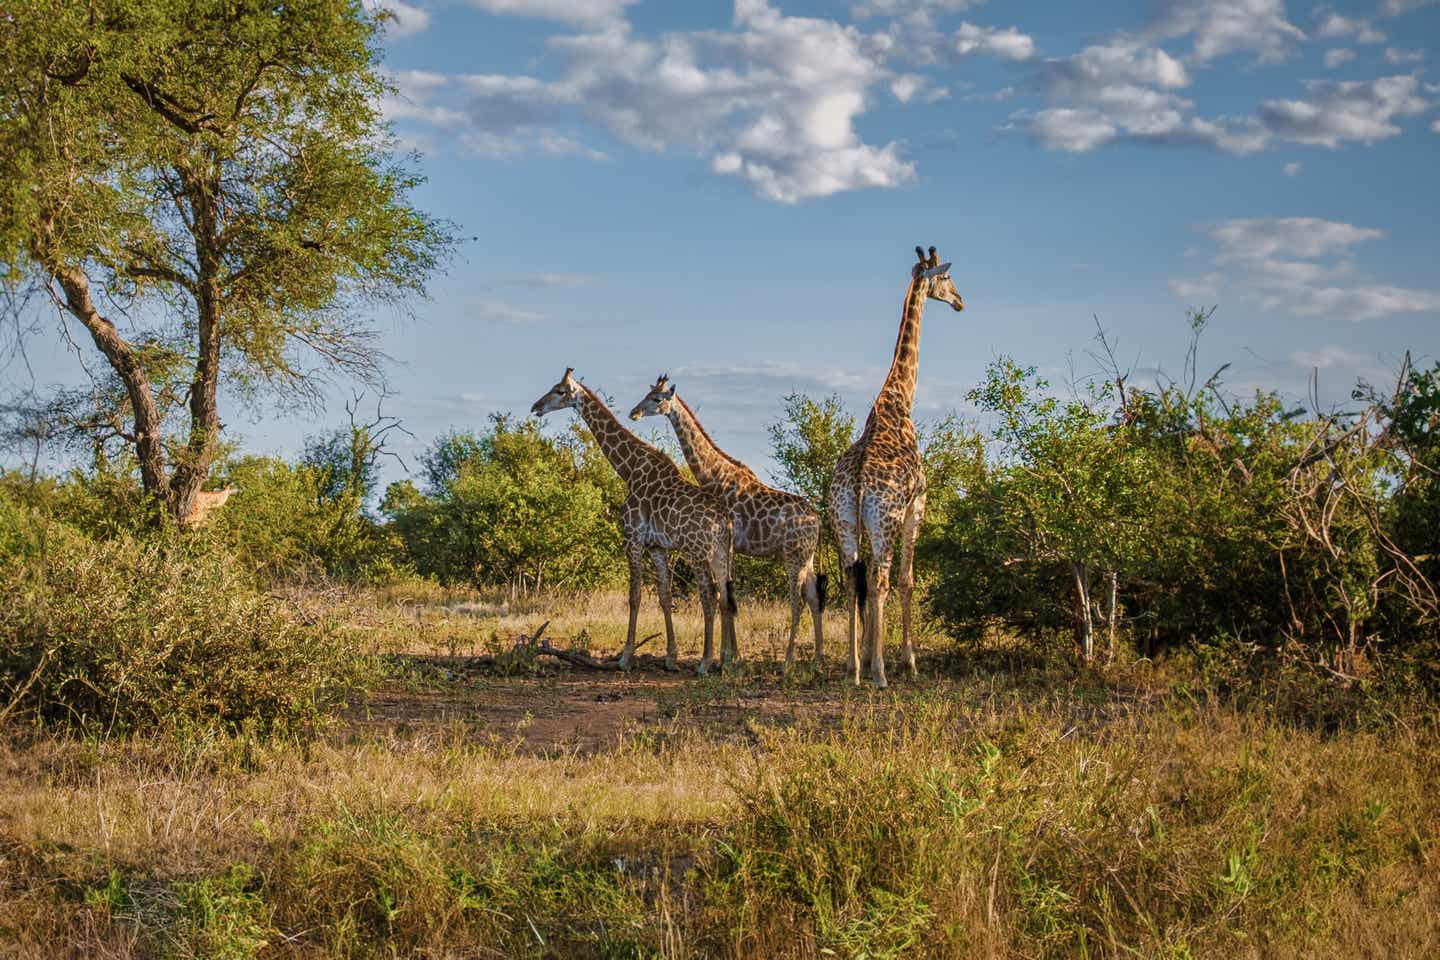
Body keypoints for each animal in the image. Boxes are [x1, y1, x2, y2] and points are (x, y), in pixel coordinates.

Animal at [529, 368, 737, 676]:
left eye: (560, 391)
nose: (536, 407)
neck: (629, 470)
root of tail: (724, 521)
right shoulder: (657, 546)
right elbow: (664, 596)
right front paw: (671, 659)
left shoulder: (633, 538)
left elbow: (635, 595)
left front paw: (626, 657)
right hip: (722, 552)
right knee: (724, 595)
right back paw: (725, 660)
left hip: (697, 551)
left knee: (708, 595)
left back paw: (704, 662)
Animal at [633, 374, 835, 676]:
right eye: (647, 395)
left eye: (657, 399)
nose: (633, 413)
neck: (714, 475)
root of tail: (818, 520)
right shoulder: (732, 547)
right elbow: (727, 593)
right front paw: (729, 656)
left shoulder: (728, 544)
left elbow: (723, 595)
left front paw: (727, 657)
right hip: (807, 557)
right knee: (812, 597)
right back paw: (818, 659)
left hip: (793, 555)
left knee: (797, 600)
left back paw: (788, 661)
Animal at [829, 244, 961, 687]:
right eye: (946, 278)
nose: (960, 301)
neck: (899, 399)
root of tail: (855, 483)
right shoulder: (917, 505)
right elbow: (907, 581)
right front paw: (908, 660)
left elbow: (865, 582)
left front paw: (868, 657)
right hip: (884, 520)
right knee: (881, 580)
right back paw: (882, 673)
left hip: (845, 521)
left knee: (853, 579)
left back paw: (854, 669)